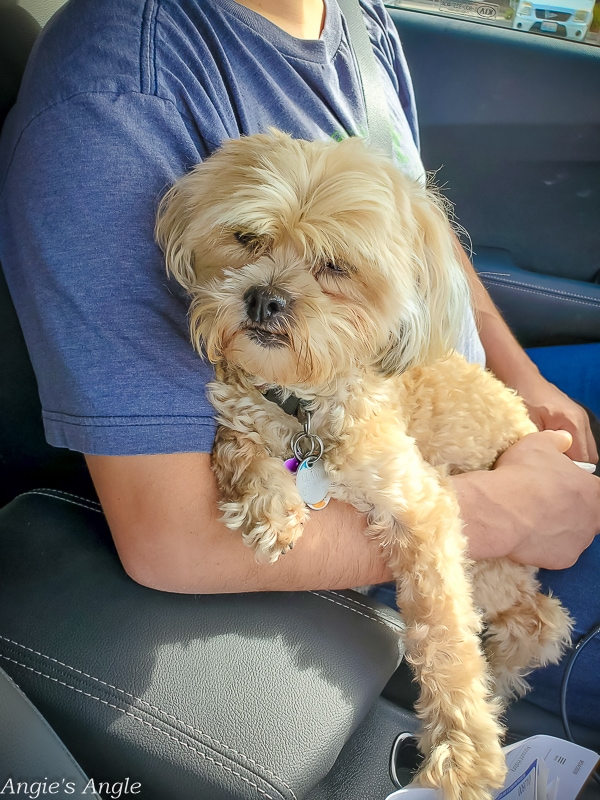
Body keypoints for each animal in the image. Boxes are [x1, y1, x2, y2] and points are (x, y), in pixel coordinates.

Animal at [157, 131, 576, 800]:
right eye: (246, 238)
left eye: (335, 265)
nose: (263, 297)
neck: (301, 399)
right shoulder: (240, 410)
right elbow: (238, 445)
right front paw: (268, 505)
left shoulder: (423, 508)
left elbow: (445, 634)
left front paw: (464, 750)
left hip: (489, 567)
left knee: (538, 621)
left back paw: (502, 680)